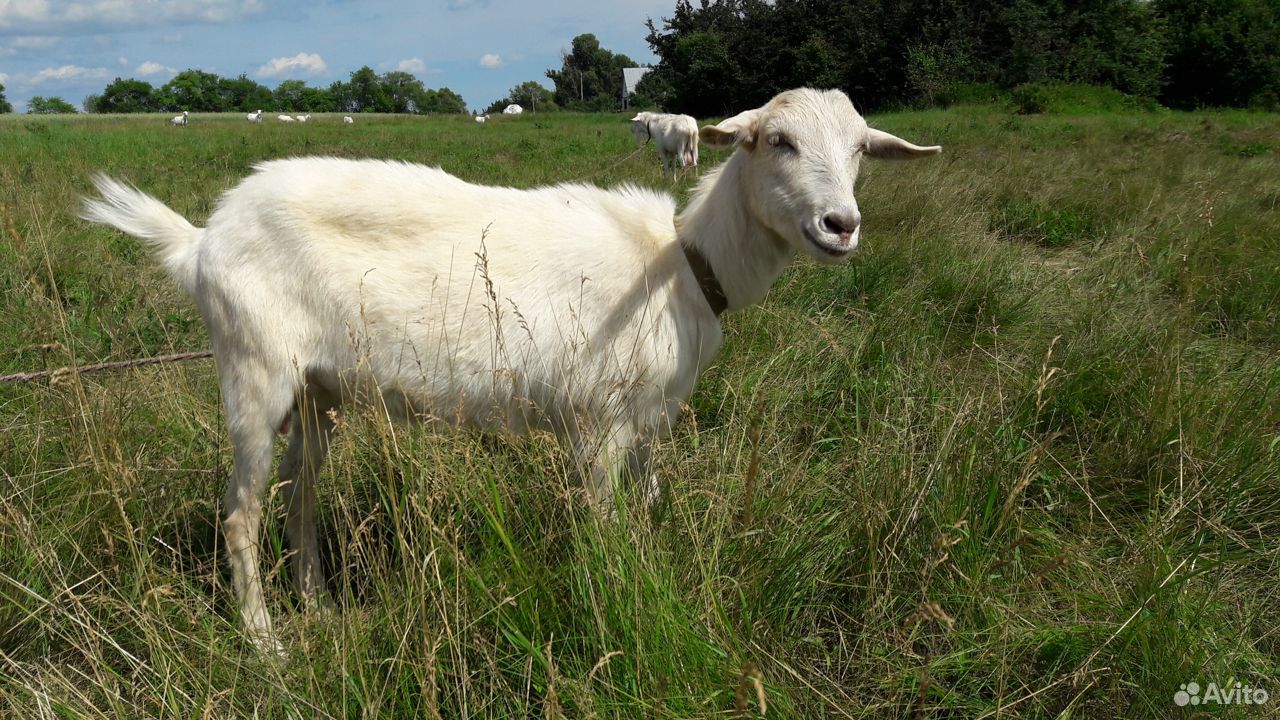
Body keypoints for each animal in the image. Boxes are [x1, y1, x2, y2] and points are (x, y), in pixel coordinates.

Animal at [80, 88, 942, 650]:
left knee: (301, 496)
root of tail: (202, 240)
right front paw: (613, 608)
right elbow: (604, 526)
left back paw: (319, 607)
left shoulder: (649, 421)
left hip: (318, 390)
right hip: (254, 372)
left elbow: (649, 507)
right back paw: (266, 644)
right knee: (239, 514)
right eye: (777, 141)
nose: (840, 226)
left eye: (861, 149)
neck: (683, 265)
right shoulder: (597, 423)